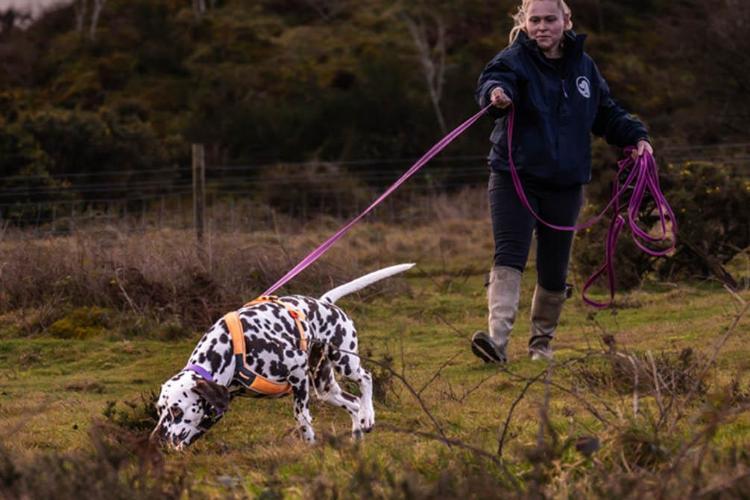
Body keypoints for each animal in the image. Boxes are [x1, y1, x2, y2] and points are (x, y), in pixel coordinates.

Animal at [150, 264, 414, 448]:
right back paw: (357, 435)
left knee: (366, 379)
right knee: (353, 403)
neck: (229, 349)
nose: (155, 440)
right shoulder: (218, 403)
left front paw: (310, 444)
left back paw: (368, 415)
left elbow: (302, 417)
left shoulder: (298, 375)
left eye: (176, 410)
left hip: (345, 363)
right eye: (159, 410)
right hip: (325, 388)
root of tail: (326, 303)